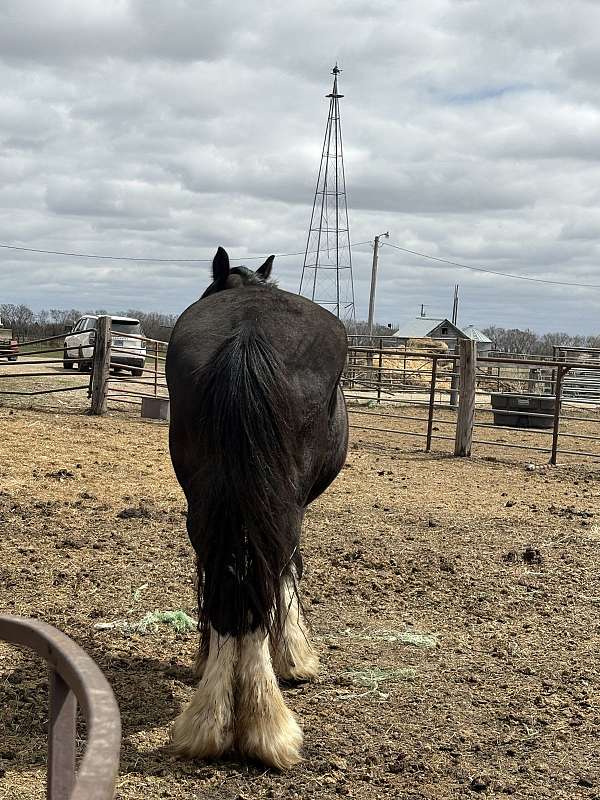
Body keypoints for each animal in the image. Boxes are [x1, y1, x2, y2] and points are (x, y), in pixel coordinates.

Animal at [165, 247, 349, 769]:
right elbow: (288, 572)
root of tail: (247, 335)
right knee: (264, 573)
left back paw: (210, 722)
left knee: (224, 577)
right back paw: (267, 727)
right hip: (281, 505)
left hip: (206, 504)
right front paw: (296, 658)